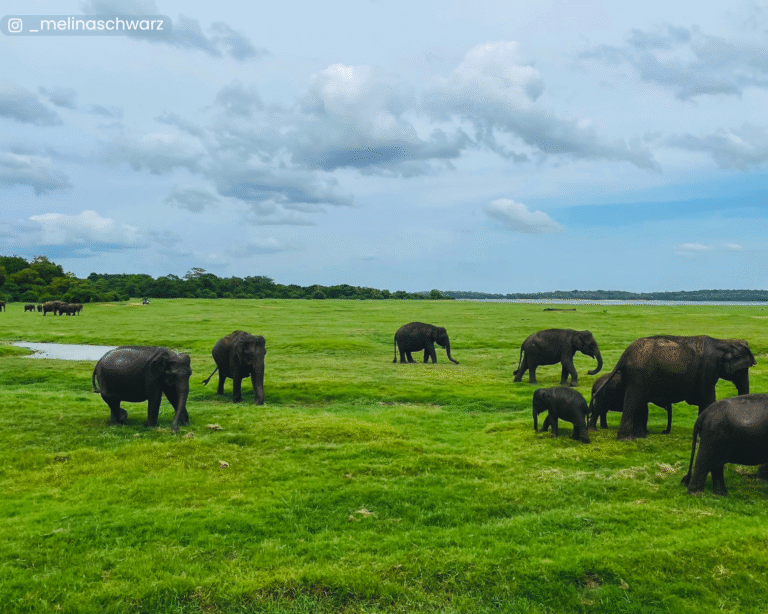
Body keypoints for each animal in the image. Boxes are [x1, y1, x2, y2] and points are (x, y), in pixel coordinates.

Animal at [594, 335, 756, 440]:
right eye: (742, 370)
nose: (664, 432)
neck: (723, 342)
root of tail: (625, 353)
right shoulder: (708, 369)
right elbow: (707, 399)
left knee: (638, 402)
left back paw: (638, 437)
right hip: (638, 375)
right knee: (633, 402)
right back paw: (626, 439)